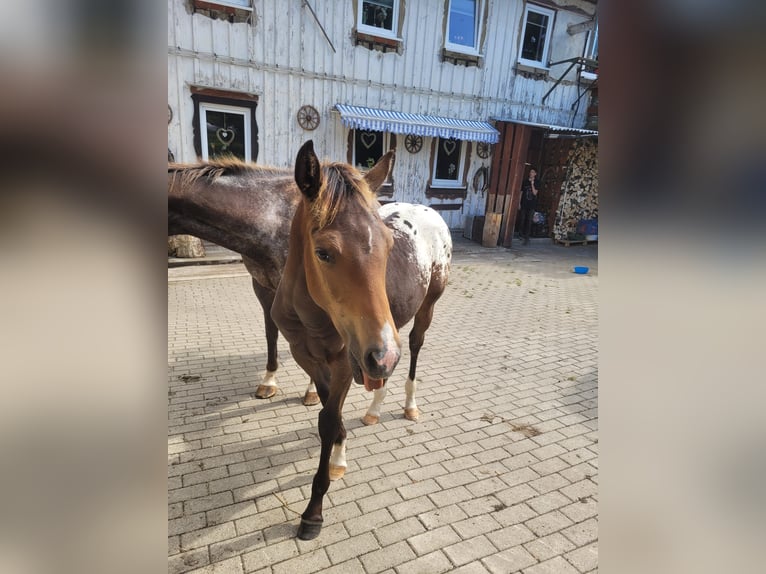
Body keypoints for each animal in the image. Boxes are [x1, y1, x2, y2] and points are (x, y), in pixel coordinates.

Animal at [272, 142, 452, 544]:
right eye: (323, 252)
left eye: (388, 245)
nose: (383, 355)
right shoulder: (307, 357)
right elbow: (331, 414)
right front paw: (339, 458)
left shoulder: (343, 361)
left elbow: (328, 419)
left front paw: (313, 513)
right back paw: (374, 408)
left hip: (422, 312)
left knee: (414, 347)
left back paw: (409, 404)